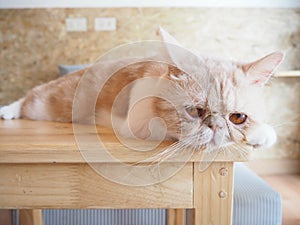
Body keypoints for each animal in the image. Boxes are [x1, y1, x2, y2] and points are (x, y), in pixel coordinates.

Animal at [0, 28, 282, 152]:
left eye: (238, 118)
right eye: (195, 112)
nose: (216, 127)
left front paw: (262, 133)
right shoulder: (135, 124)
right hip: (44, 104)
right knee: (28, 97)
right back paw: (8, 111)